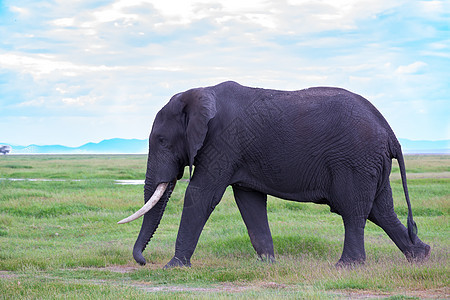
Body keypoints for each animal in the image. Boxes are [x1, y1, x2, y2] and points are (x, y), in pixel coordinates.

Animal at [118, 81, 430, 268]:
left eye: (161, 141)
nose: (143, 261)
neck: (198, 93)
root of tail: (389, 131)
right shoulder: (235, 151)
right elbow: (250, 202)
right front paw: (267, 263)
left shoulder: (222, 142)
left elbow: (200, 196)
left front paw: (174, 266)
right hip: (370, 162)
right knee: (381, 210)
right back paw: (420, 256)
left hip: (355, 160)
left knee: (353, 210)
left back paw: (347, 266)